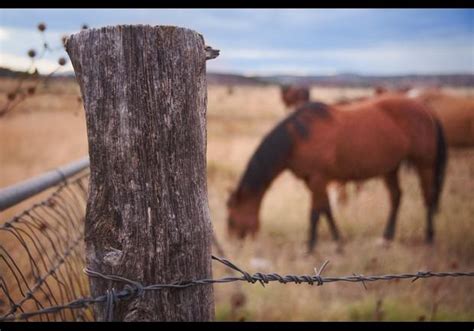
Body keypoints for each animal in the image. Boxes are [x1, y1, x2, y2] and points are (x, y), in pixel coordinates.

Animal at [228, 94, 446, 253]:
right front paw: (338, 243)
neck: (298, 138)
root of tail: (425, 109)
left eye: (231, 215)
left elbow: (315, 214)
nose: (234, 242)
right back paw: (386, 238)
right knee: (396, 197)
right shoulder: (314, 181)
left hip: (424, 165)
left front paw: (310, 247)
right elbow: (326, 209)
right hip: (390, 168)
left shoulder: (318, 179)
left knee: (428, 197)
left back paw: (429, 237)